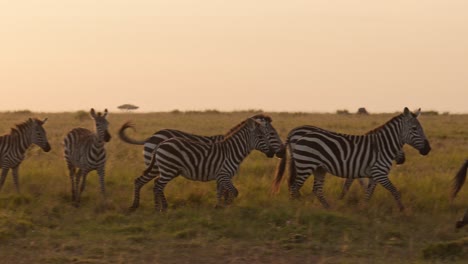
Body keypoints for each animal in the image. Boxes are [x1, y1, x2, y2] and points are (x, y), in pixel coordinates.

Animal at [128, 116, 282, 211]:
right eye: (264, 136)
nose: (273, 153)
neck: (232, 150)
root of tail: (161, 143)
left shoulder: (221, 176)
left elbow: (220, 192)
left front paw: (219, 207)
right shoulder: (224, 174)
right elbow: (233, 192)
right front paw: (228, 208)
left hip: (163, 169)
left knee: (148, 183)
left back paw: (151, 207)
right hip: (167, 169)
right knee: (157, 186)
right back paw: (161, 208)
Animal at [270, 107, 432, 210]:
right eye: (414, 129)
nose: (428, 149)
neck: (382, 146)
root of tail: (294, 134)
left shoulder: (373, 174)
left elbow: (368, 192)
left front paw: (364, 208)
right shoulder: (379, 173)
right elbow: (394, 190)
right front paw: (402, 210)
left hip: (319, 168)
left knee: (316, 190)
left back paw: (329, 209)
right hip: (305, 164)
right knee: (294, 186)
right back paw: (293, 206)